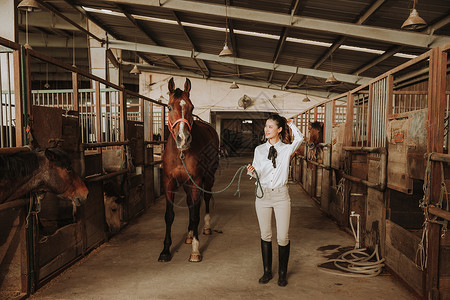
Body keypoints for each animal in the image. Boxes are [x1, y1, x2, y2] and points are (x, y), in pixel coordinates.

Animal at [159, 78, 219, 262]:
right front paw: (165, 250)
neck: (181, 154)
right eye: (169, 107)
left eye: (192, 107)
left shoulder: (196, 181)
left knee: (205, 199)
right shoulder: (169, 182)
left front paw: (195, 250)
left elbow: (195, 214)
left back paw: (205, 227)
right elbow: (169, 215)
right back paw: (189, 234)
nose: (183, 138)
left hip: (208, 177)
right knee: (190, 203)